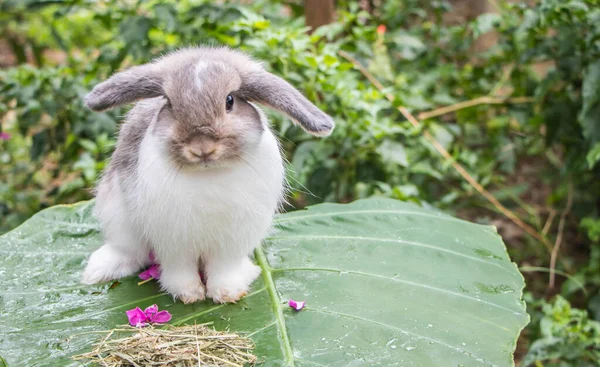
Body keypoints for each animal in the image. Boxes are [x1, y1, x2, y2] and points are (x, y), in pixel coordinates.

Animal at [80, 46, 336, 304]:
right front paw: (188, 294)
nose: (201, 148)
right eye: (170, 103)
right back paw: (97, 271)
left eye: (230, 101)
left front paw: (228, 293)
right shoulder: (173, 241)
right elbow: (180, 270)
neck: (208, 174)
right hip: (118, 218)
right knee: (128, 251)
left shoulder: (231, 242)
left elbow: (224, 269)